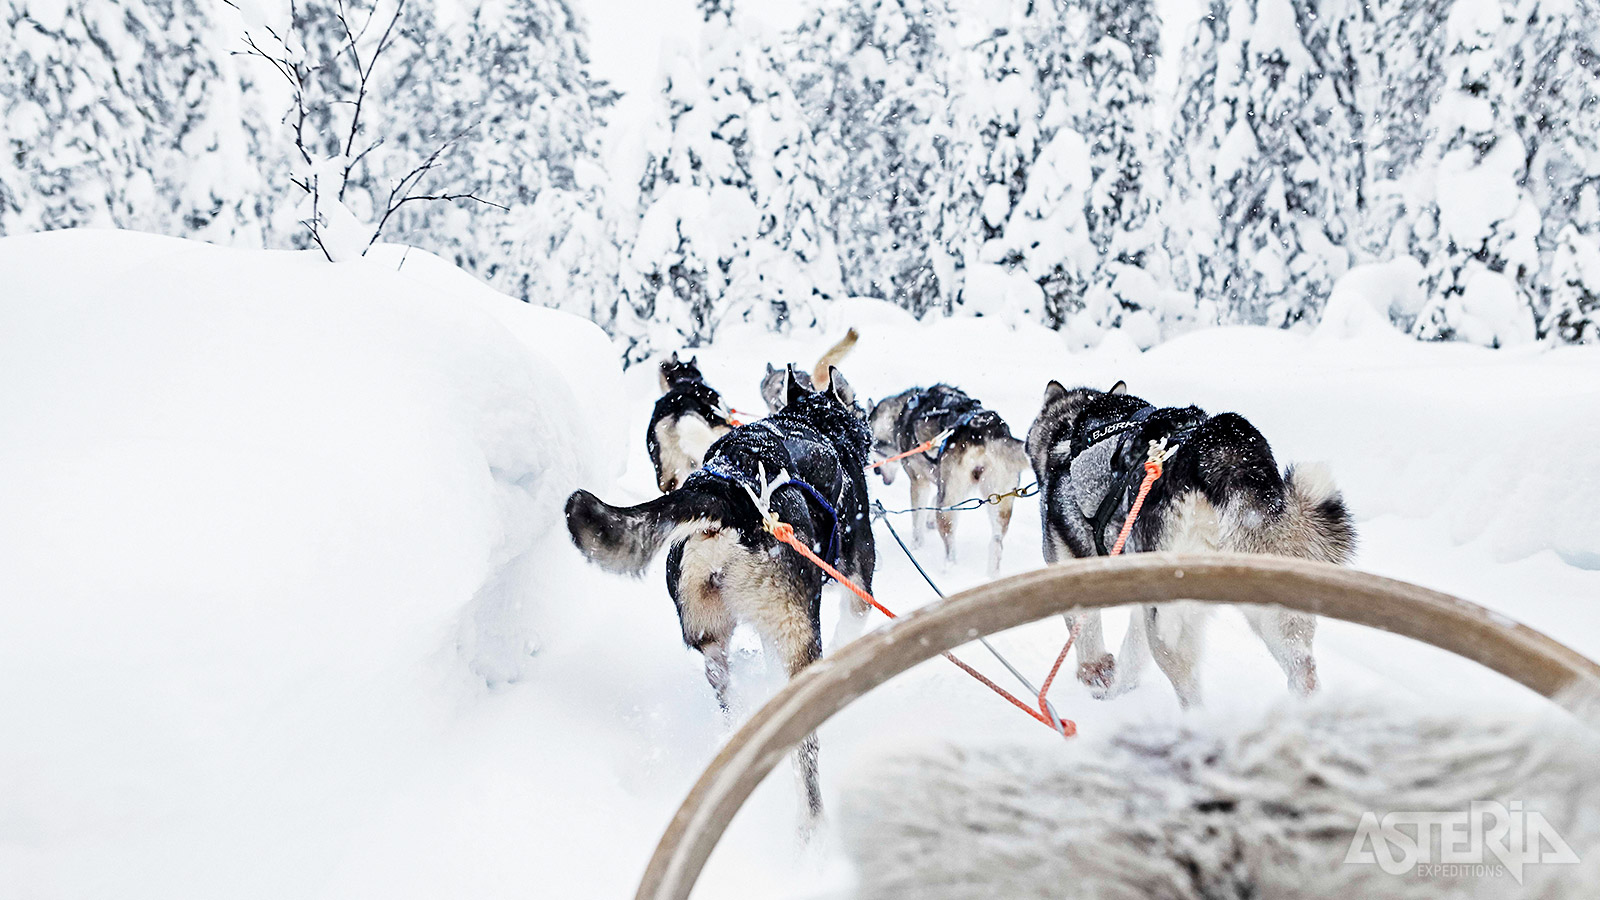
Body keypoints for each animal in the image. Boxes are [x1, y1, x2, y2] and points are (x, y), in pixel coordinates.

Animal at [569, 366, 876, 819]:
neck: (817, 423)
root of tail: (729, 496)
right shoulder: (859, 588)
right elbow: (850, 628)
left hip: (711, 637)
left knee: (728, 694)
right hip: (798, 643)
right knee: (803, 755)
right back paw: (812, 824)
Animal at [870, 381, 1030, 570]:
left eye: (872, 450)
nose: (875, 471)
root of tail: (987, 431)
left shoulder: (919, 481)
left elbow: (917, 521)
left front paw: (916, 546)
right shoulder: (941, 481)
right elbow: (932, 502)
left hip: (948, 505)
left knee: (950, 546)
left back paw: (948, 568)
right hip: (997, 501)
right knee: (996, 543)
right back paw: (992, 573)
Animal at [1030, 374, 1356, 704]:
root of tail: (1223, 455)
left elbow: (1088, 637)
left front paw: (1098, 680)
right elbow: (1132, 655)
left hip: (1171, 624)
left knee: (1191, 694)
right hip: (1273, 611)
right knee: (1304, 671)